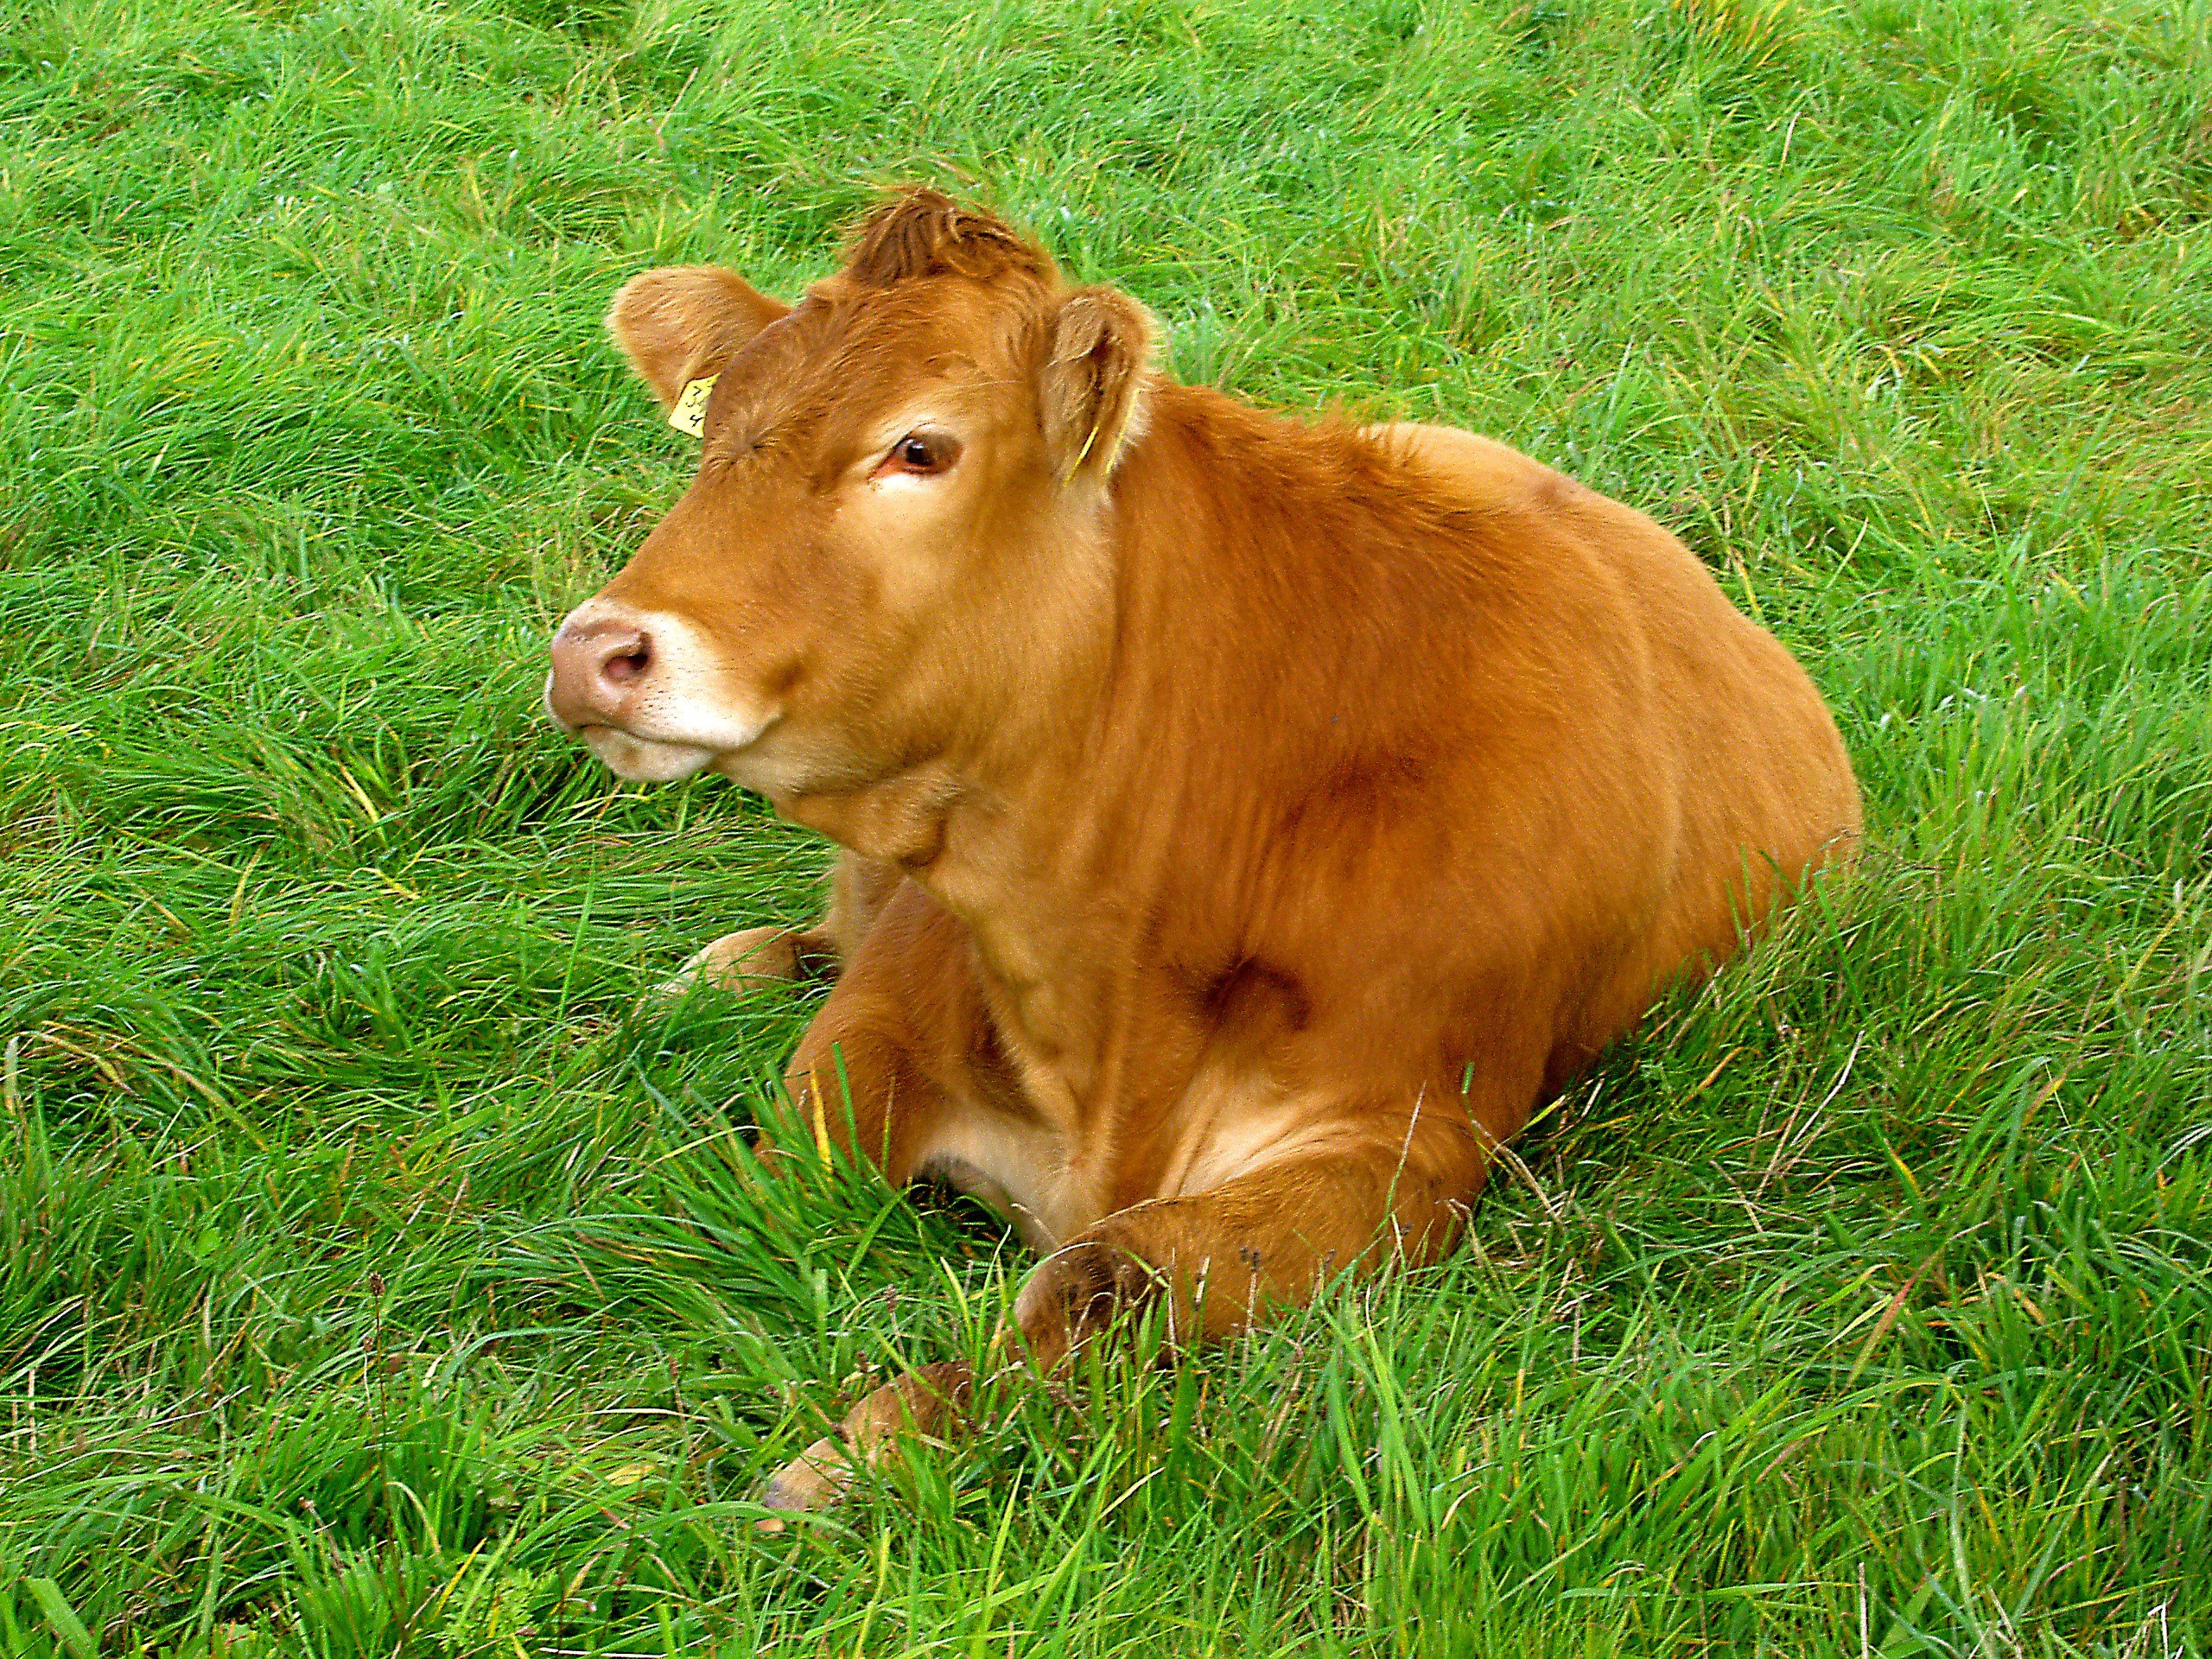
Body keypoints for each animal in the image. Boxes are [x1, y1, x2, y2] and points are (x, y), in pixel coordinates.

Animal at [544, 188, 1861, 1521]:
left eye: (918, 449)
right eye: (716, 431)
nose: (593, 650)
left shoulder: (1406, 1145)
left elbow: (1104, 1275)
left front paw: (866, 1448)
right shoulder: (891, 998)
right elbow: (769, 1167)